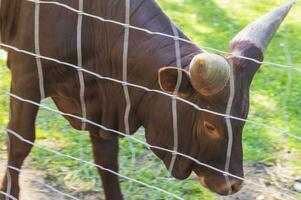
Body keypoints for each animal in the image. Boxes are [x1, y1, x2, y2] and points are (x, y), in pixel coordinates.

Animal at [0, 0, 290, 200]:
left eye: (243, 118)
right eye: (210, 125)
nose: (233, 184)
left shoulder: (102, 110)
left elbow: (107, 160)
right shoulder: (26, 77)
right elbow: (20, 141)